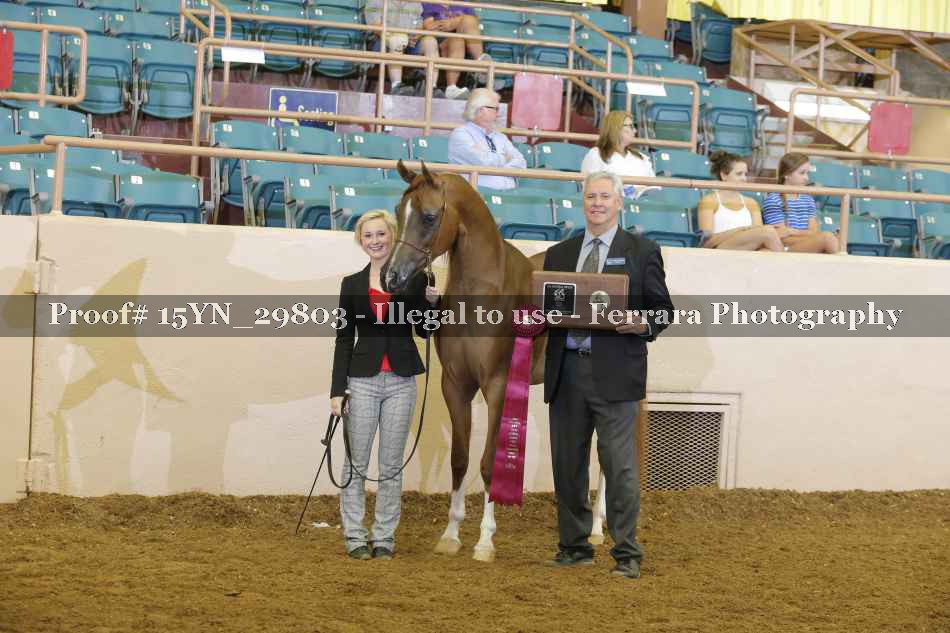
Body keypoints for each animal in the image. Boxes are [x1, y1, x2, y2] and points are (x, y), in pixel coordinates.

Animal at [381, 161, 622, 561]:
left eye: (429, 216)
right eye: (400, 212)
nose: (391, 277)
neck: (481, 295)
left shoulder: (497, 386)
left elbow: (489, 461)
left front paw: (484, 541)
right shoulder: (455, 386)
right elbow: (460, 459)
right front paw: (451, 535)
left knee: (608, 455)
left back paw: (599, 530)